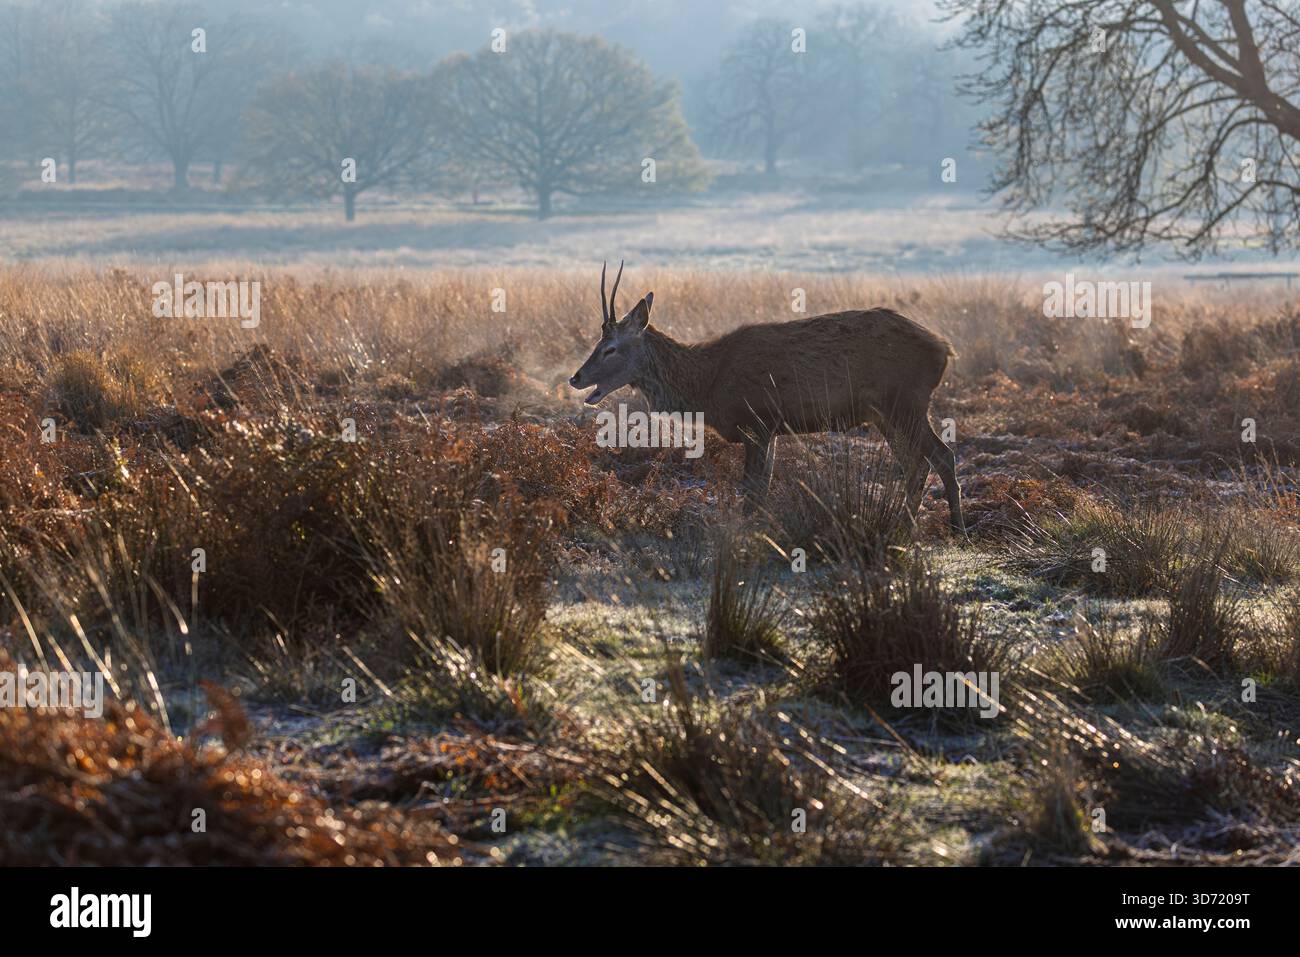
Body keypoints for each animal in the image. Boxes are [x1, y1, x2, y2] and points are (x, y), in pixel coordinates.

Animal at [568, 262, 965, 535]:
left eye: (610, 348)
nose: (576, 377)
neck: (706, 385)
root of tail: (945, 349)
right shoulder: (770, 428)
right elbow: (764, 486)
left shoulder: (756, 421)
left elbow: (752, 490)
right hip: (885, 413)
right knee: (917, 463)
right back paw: (906, 525)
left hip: (907, 401)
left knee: (941, 456)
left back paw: (954, 529)